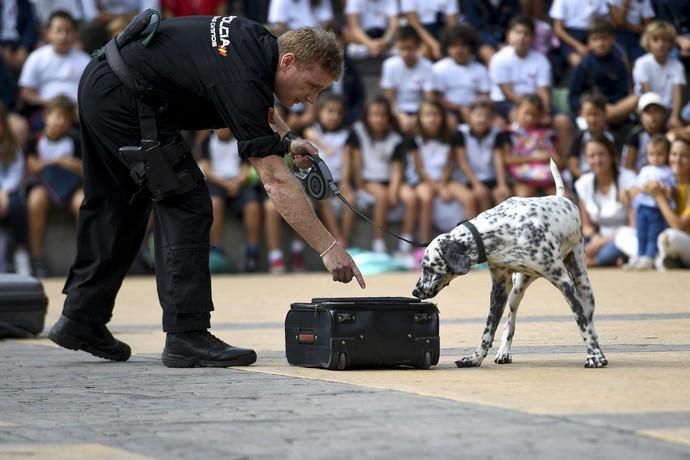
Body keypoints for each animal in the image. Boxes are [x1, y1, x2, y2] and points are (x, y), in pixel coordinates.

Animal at [412, 160, 604, 368]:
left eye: (427, 267)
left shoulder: (564, 283)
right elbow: (488, 330)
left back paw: (598, 350)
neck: (502, 231)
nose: (415, 291)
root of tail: (562, 198)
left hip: (583, 286)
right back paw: (504, 352)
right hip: (515, 292)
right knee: (509, 324)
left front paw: (594, 356)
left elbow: (582, 322)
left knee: (590, 321)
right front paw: (475, 358)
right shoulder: (499, 290)